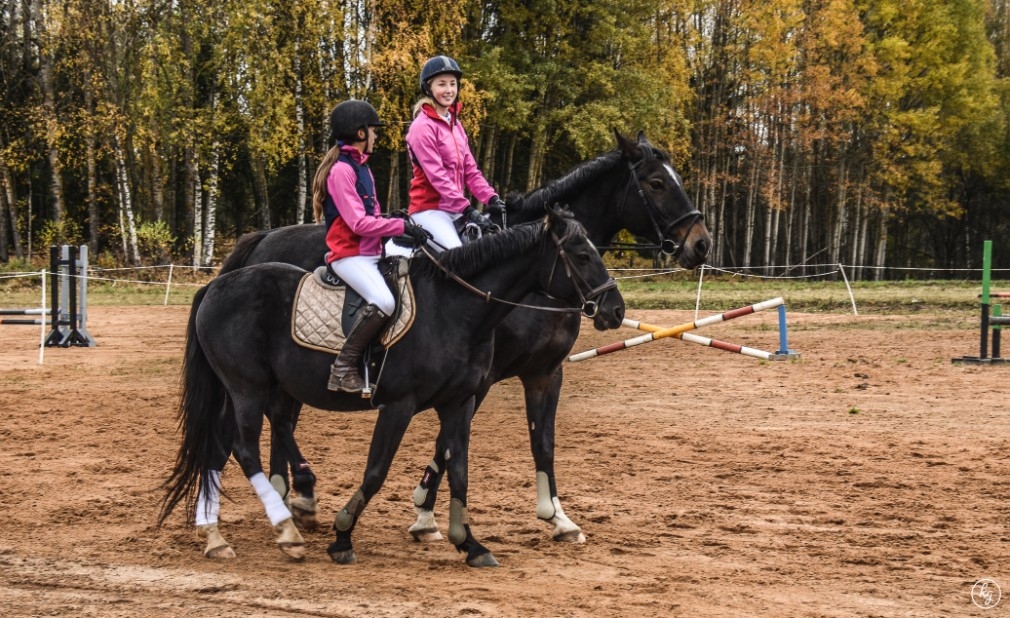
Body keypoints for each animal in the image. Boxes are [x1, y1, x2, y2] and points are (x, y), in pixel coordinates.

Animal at [159, 208, 622, 565]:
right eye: (582, 255)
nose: (615, 309)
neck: (453, 309)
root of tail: (215, 285)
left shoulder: (462, 400)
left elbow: (460, 469)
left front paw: (469, 543)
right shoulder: (400, 404)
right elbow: (377, 471)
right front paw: (343, 535)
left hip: (251, 389)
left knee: (222, 446)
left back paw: (218, 537)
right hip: (248, 389)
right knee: (245, 446)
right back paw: (287, 527)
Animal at [213, 129, 711, 541]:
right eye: (656, 183)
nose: (700, 243)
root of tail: (263, 239)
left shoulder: (544, 373)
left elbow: (542, 442)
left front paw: (557, 517)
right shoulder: (481, 378)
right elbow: (449, 443)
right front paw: (425, 513)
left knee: (281, 416)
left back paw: (291, 496)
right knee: (280, 417)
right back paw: (295, 494)